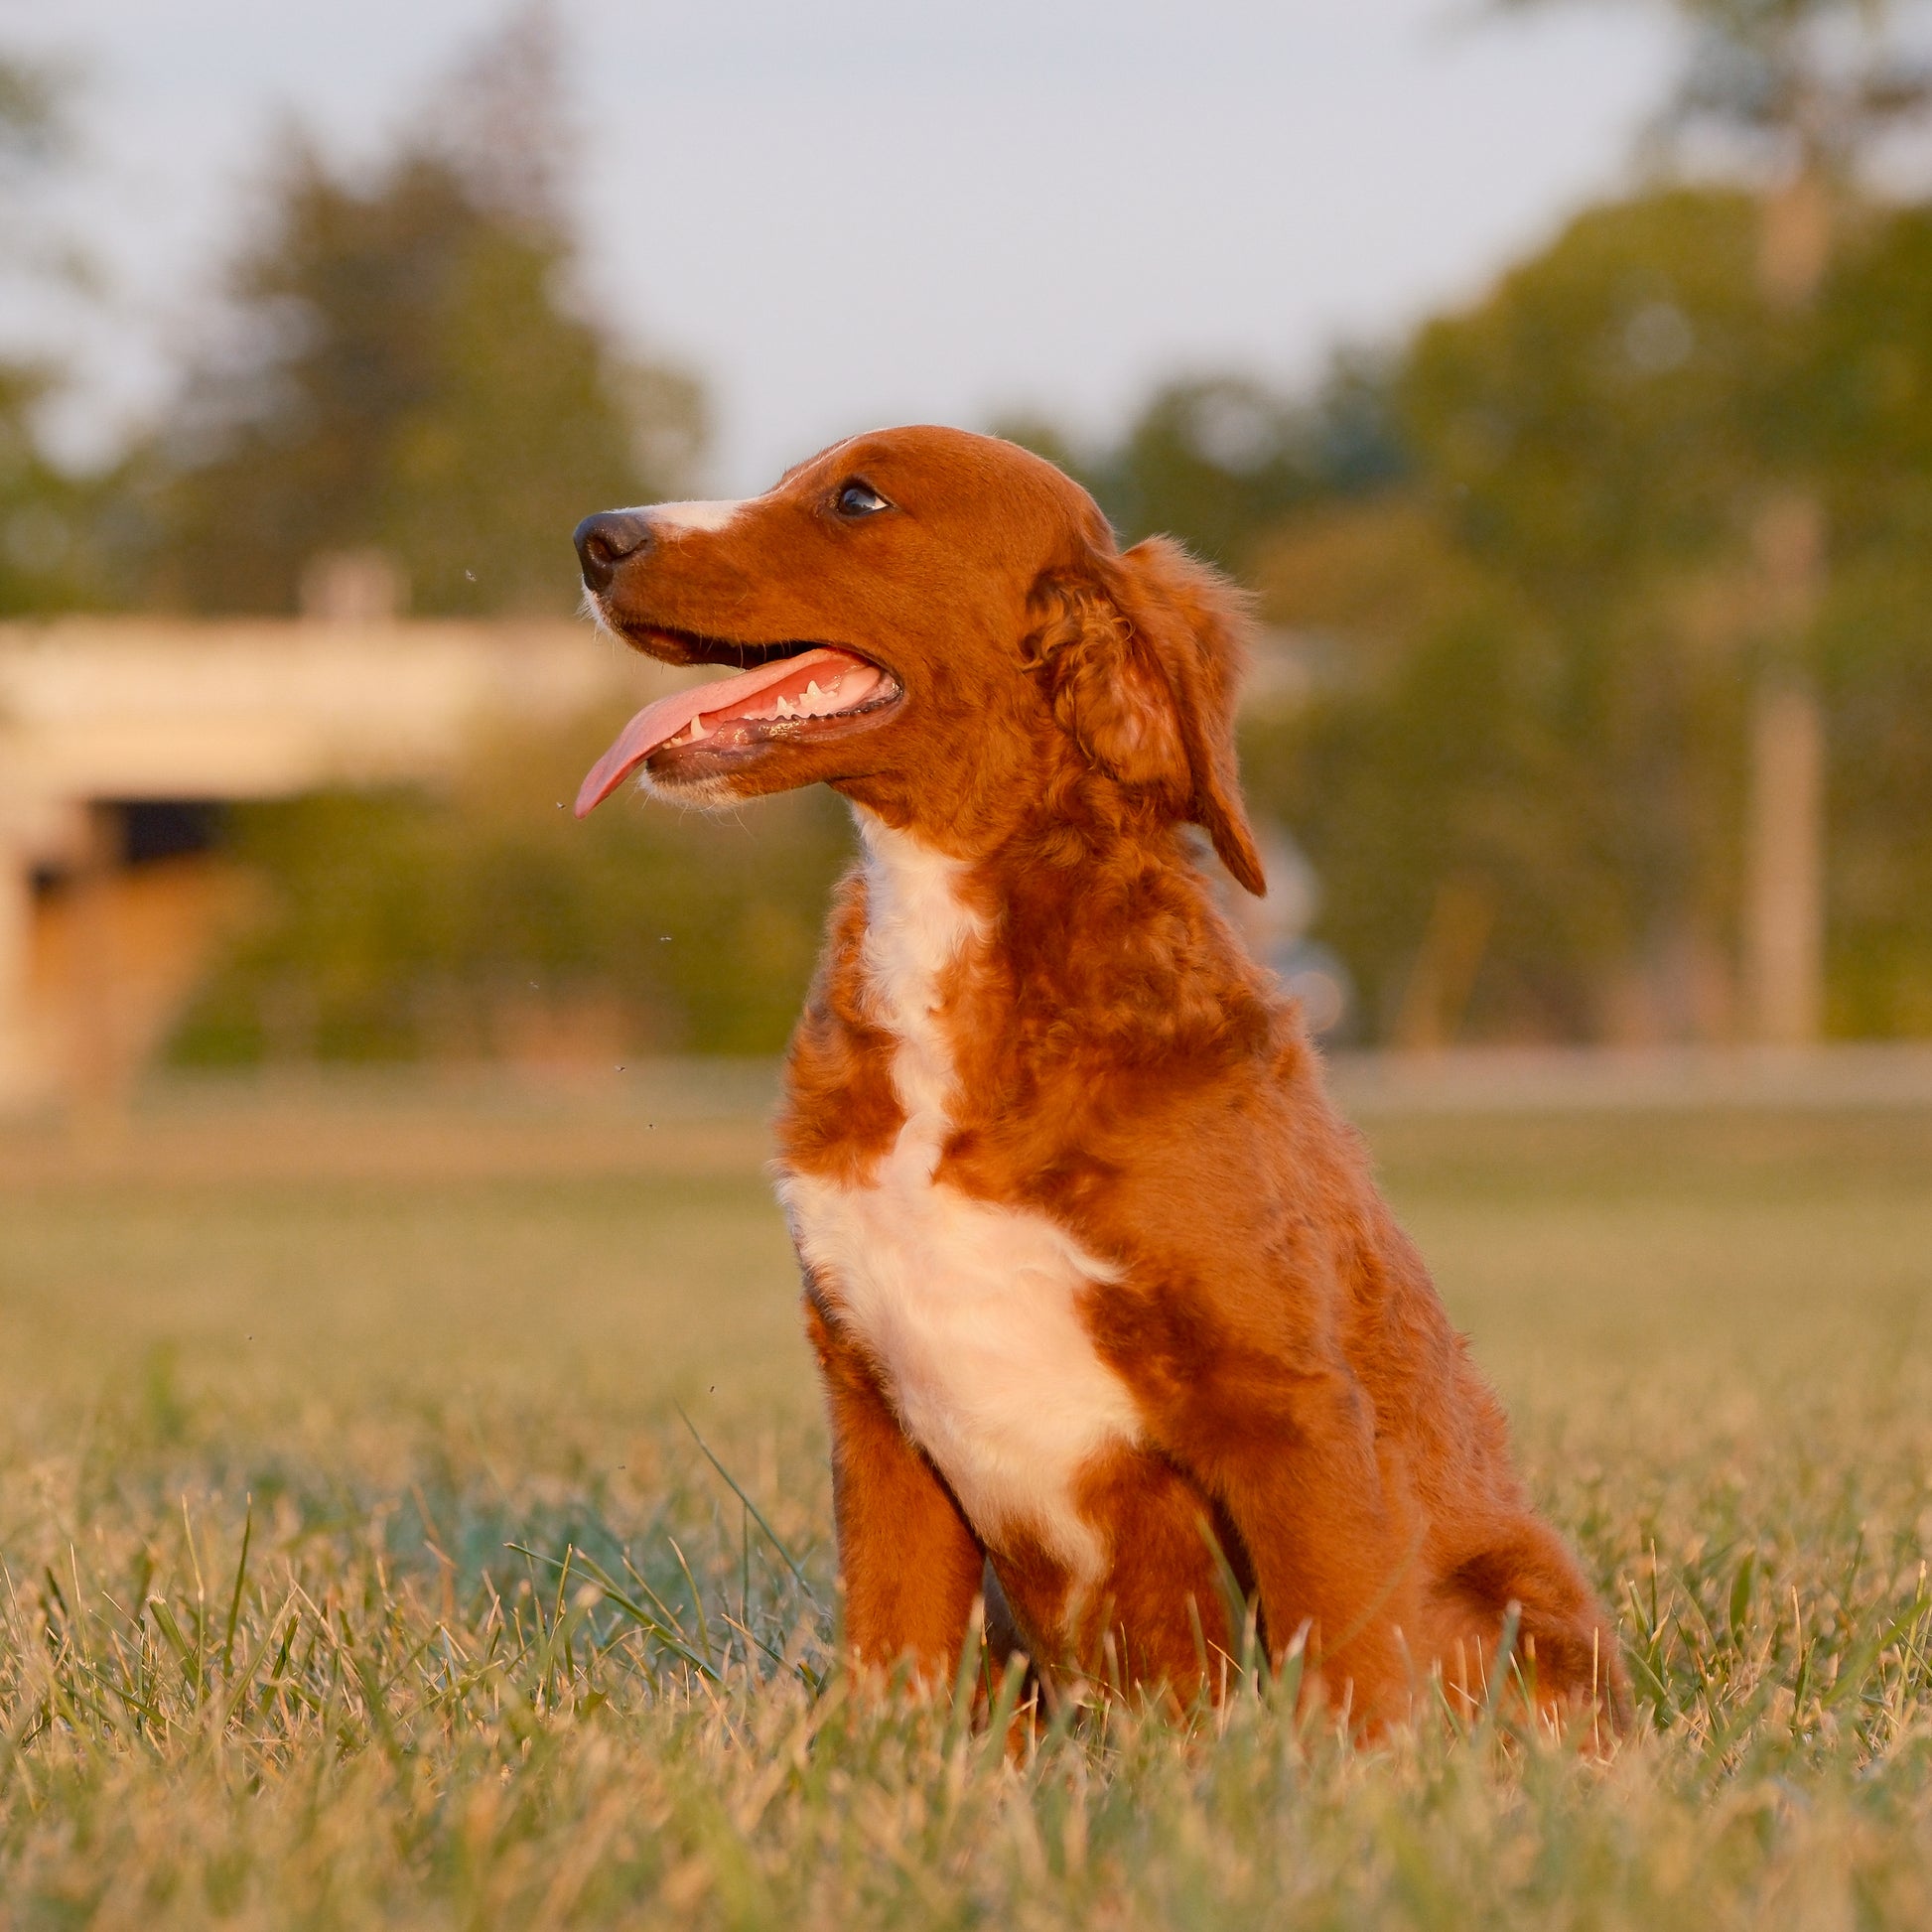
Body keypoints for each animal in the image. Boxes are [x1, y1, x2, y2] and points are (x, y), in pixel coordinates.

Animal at [572, 427, 1630, 1738]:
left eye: (857, 498)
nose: (597, 537)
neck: (956, 922)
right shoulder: (871, 1399)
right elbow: (892, 1653)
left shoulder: (1284, 1401)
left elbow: (1345, 1664)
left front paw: (1345, 1786)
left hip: (1520, 1583)